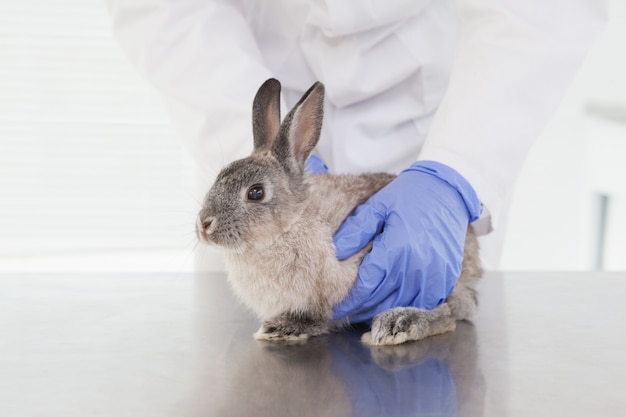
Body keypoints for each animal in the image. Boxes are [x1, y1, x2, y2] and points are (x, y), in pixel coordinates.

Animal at [196, 78, 482, 344]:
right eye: (220, 176)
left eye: (255, 192)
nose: (204, 225)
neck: (290, 225)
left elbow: (316, 318)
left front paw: (282, 328)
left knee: (448, 313)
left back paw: (397, 323)